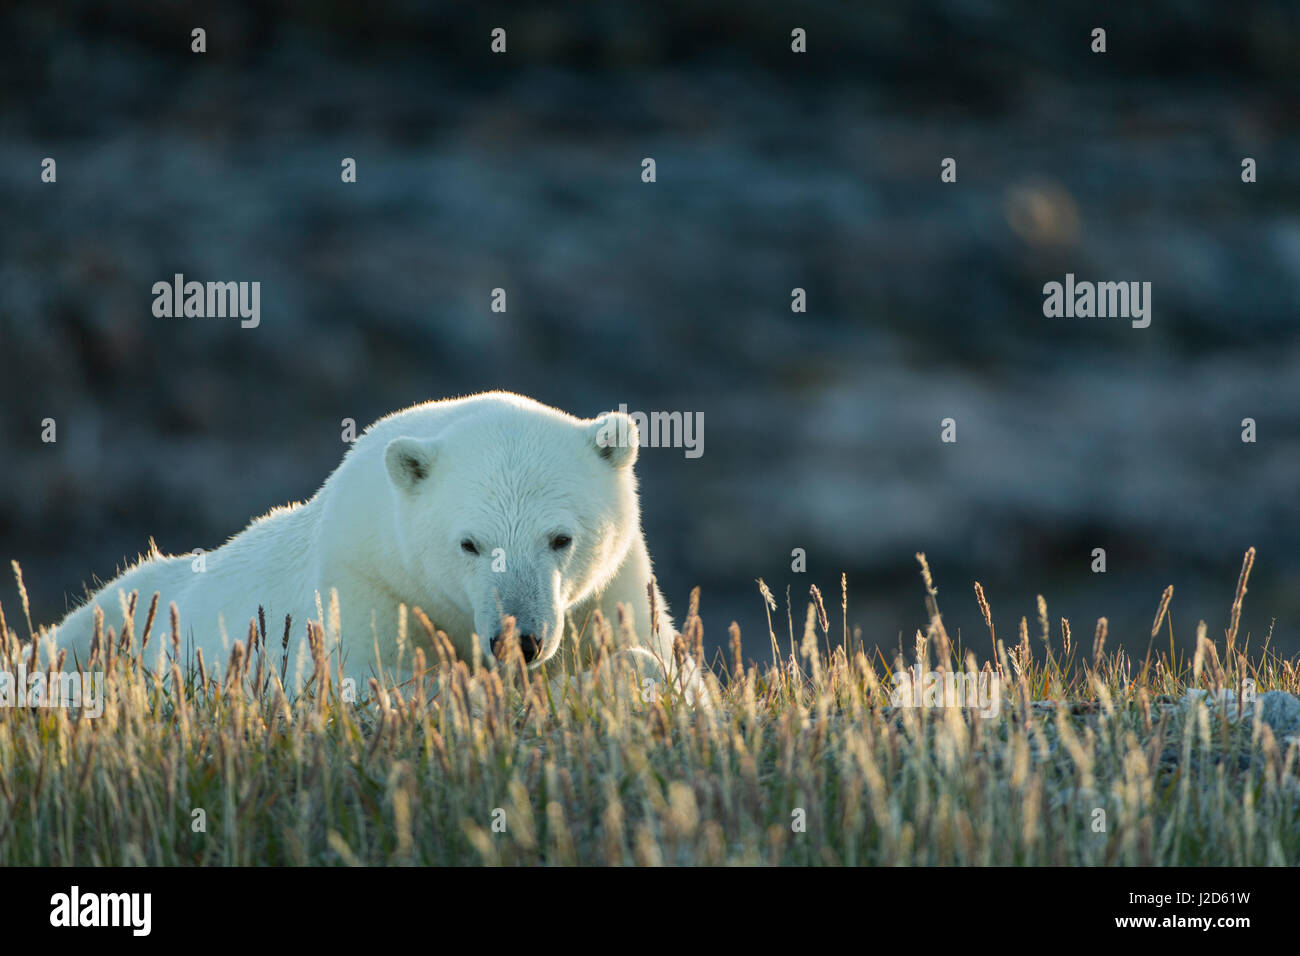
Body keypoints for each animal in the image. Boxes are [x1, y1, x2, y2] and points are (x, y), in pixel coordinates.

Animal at [43, 392, 702, 697]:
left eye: (561, 538)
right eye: (469, 543)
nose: (520, 641)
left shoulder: (607, 591)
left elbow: (666, 661)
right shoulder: (367, 578)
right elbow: (367, 681)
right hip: (119, 611)